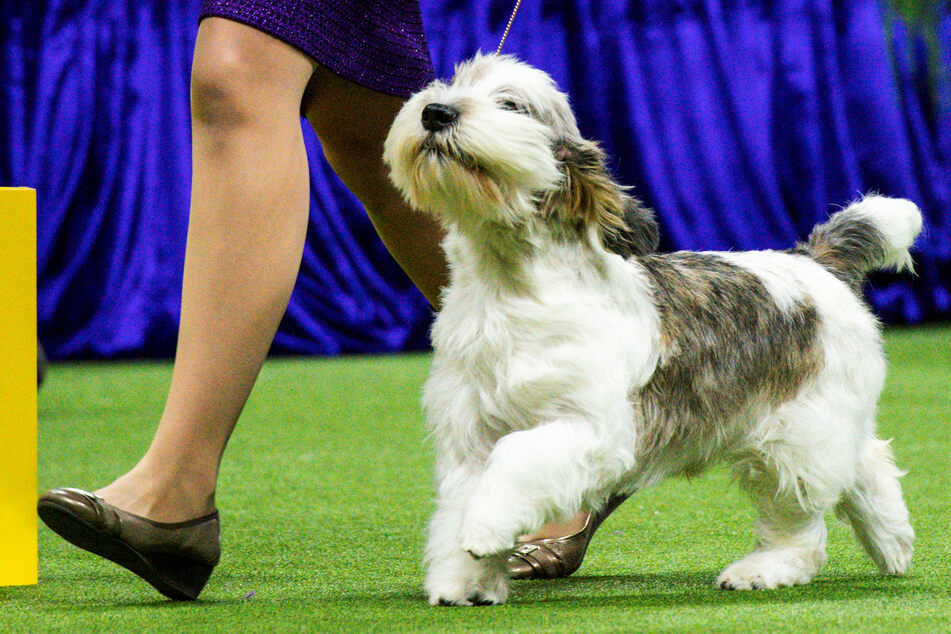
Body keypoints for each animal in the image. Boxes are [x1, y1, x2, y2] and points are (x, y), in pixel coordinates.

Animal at [384, 53, 920, 604]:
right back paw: (892, 541)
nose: (435, 113)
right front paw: (467, 580)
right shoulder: (469, 434)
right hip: (816, 424)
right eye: (454, 83)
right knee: (867, 463)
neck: (510, 291)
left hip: (792, 434)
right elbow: (457, 508)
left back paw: (765, 569)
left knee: (801, 525)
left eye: (511, 104)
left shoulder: (589, 427)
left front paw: (486, 526)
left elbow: (515, 461)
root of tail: (813, 261)